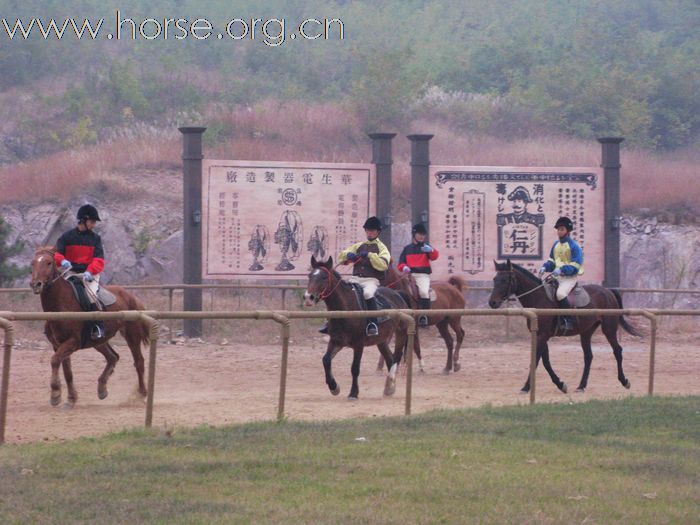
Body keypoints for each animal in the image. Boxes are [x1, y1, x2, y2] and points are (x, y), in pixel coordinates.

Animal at [30, 246, 152, 406]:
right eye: (32, 263)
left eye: (49, 263)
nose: (36, 284)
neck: (61, 304)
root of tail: (131, 297)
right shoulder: (58, 345)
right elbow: (67, 371)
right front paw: (71, 398)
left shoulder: (72, 342)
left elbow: (54, 360)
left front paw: (55, 394)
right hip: (98, 341)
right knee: (113, 357)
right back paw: (102, 388)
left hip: (132, 336)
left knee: (138, 362)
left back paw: (141, 394)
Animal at [304, 256, 412, 400]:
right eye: (310, 275)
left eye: (324, 277)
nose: (308, 298)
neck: (346, 308)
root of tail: (398, 294)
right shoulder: (336, 341)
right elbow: (326, 360)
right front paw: (334, 387)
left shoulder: (358, 344)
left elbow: (355, 368)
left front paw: (353, 393)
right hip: (381, 341)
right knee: (389, 359)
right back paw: (389, 388)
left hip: (400, 334)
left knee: (396, 358)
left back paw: (389, 385)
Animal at [486, 260, 640, 390]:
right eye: (494, 279)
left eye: (505, 280)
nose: (492, 302)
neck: (539, 298)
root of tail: (608, 291)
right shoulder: (540, 335)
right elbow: (545, 362)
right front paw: (560, 384)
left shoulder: (543, 336)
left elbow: (536, 360)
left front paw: (526, 387)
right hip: (586, 332)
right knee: (588, 356)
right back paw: (581, 386)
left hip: (609, 329)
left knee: (617, 350)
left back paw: (624, 381)